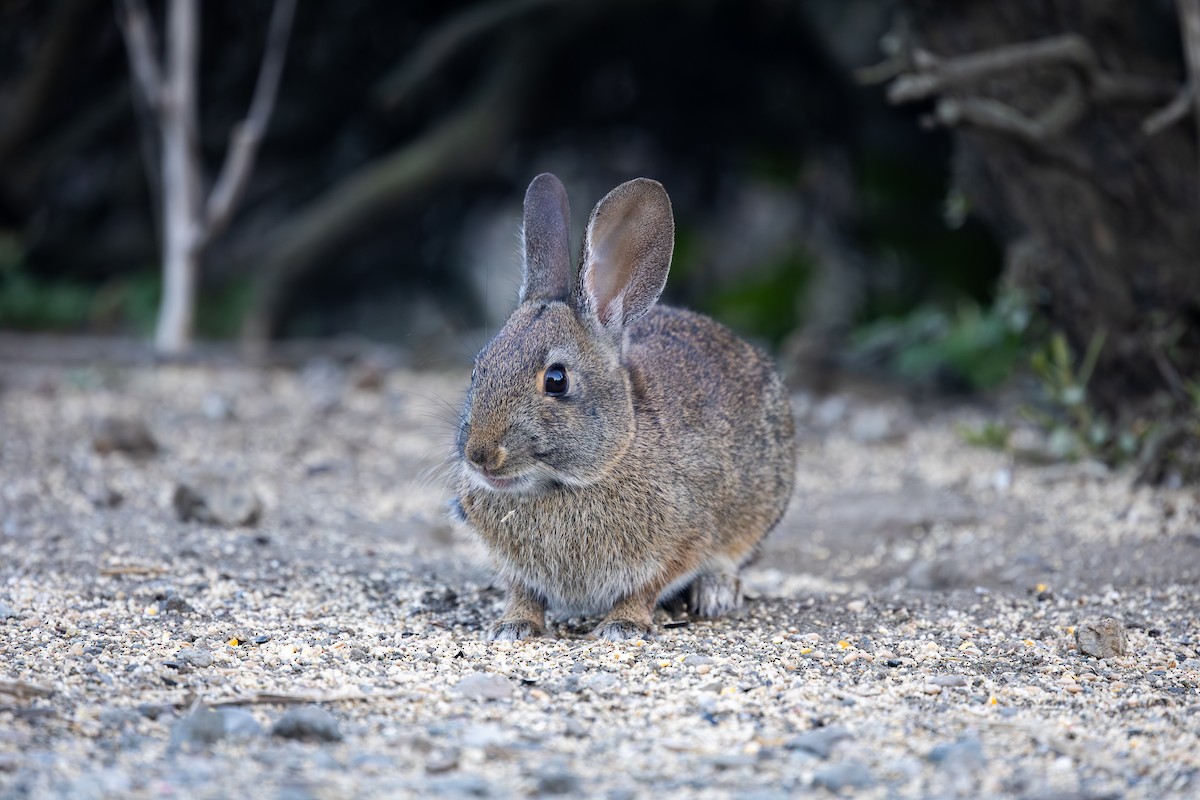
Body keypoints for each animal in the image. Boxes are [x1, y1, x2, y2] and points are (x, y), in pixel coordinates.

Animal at [454, 173, 796, 642]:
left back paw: (715, 593)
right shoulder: (513, 568)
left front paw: (623, 625)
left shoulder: (681, 542)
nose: (480, 456)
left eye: (556, 380)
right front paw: (513, 626)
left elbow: (646, 587)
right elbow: (522, 592)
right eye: (477, 368)